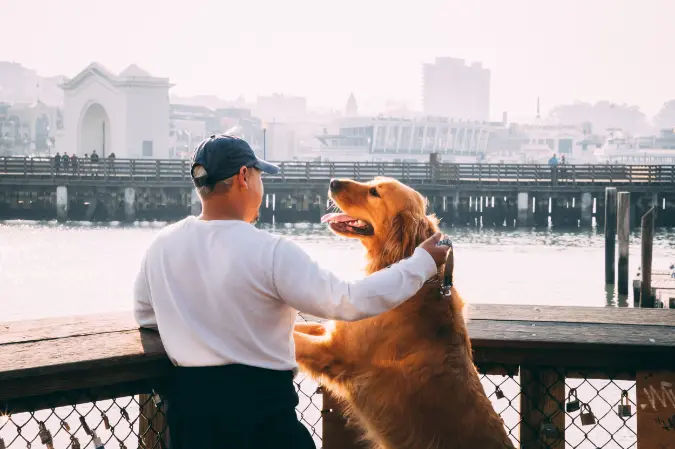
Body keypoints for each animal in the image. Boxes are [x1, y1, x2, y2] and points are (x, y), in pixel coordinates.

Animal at [294, 177, 516, 448]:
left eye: (374, 192)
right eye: (372, 182)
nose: (333, 181)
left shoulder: (333, 351)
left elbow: (294, 340)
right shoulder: (331, 333)